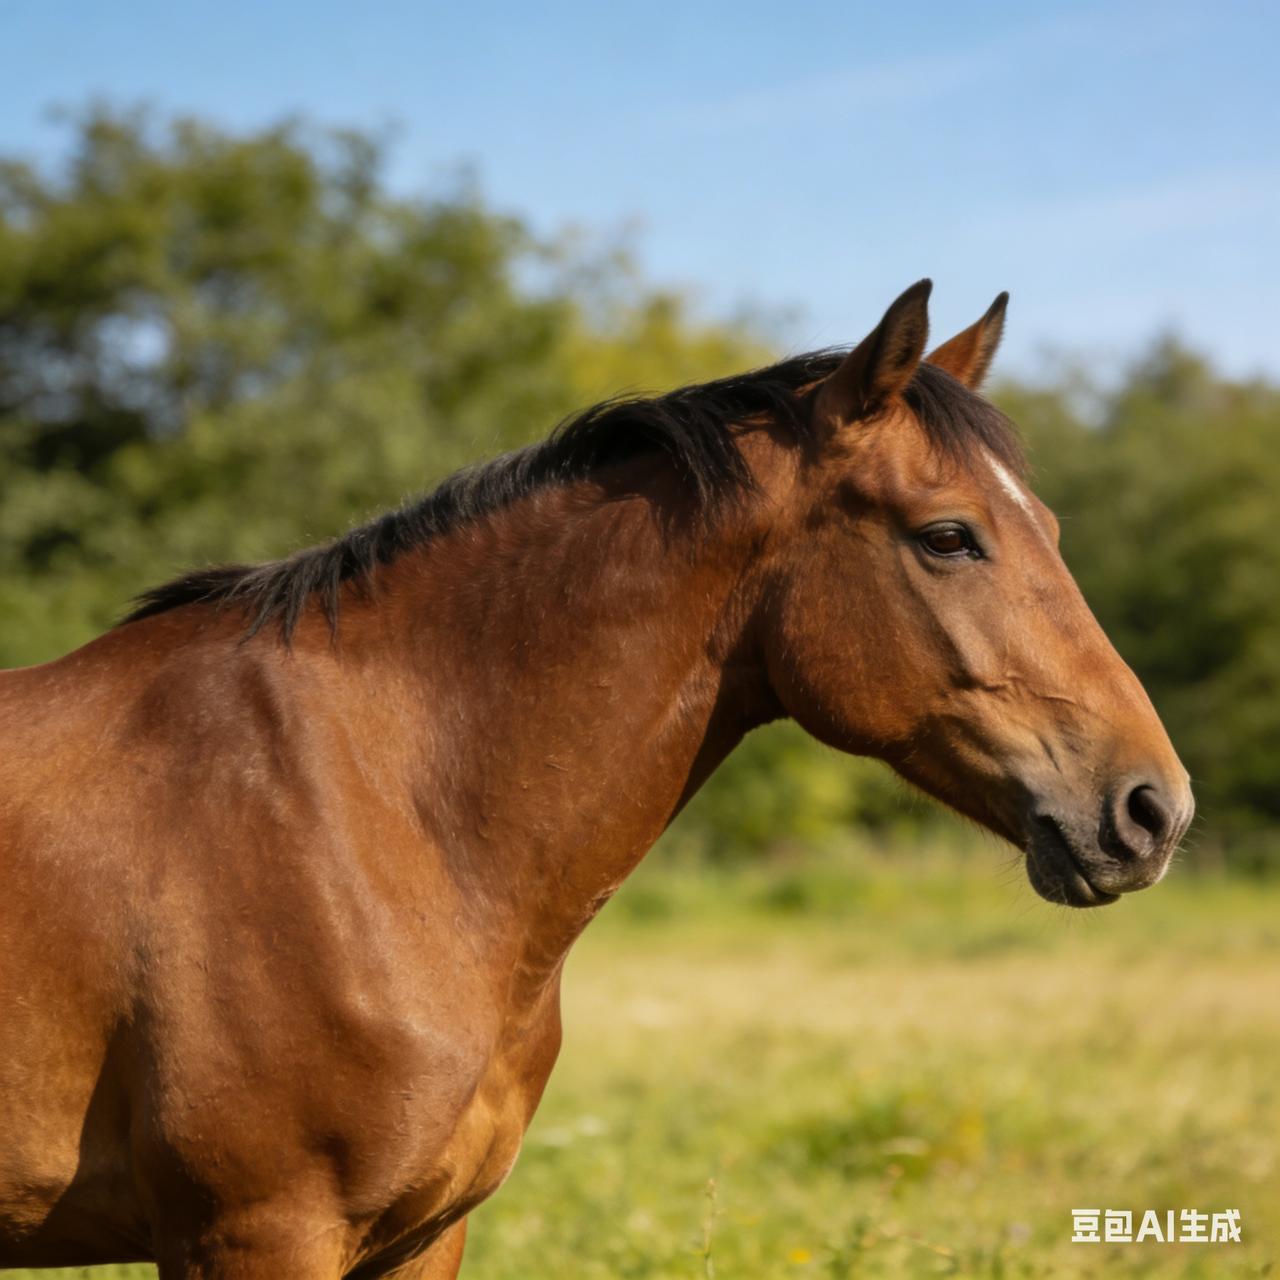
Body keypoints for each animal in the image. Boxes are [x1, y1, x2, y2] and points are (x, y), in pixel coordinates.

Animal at [0, 281, 1192, 1277]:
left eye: (1046, 527)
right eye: (948, 536)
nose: (1152, 809)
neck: (368, 813)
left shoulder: (423, 1234)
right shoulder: (258, 1233)